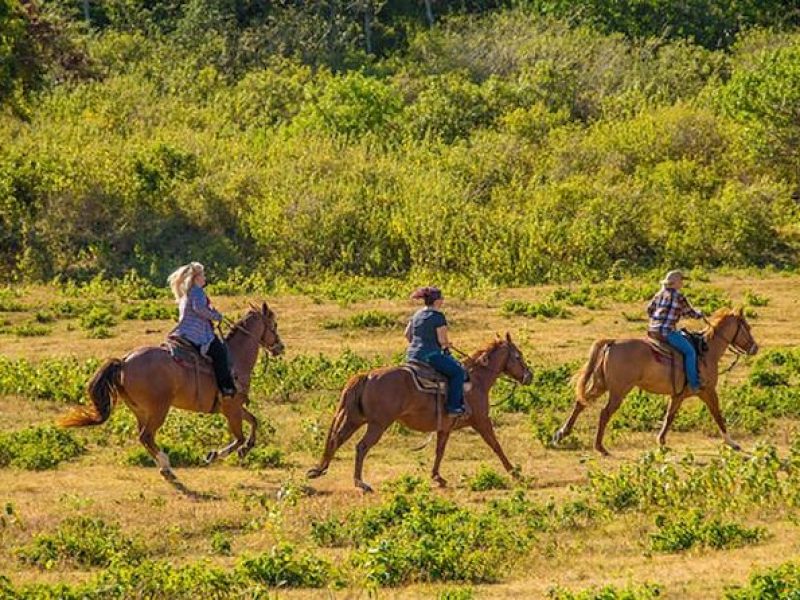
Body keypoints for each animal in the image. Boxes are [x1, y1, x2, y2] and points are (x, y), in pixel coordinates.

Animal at [60, 302, 284, 480]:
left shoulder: (233, 408)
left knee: (144, 437)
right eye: (274, 325)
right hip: (159, 409)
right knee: (146, 436)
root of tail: (123, 362)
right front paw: (214, 455)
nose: (280, 347)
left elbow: (254, 422)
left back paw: (163, 466)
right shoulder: (232, 409)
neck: (235, 359)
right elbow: (239, 438)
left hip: (141, 411)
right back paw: (166, 465)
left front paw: (246, 449)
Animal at [306, 332, 532, 492]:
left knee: (336, 439)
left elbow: (439, 451)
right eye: (518, 355)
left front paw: (437, 477)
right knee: (361, 447)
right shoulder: (482, 421)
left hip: (355, 419)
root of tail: (367, 376)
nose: (529, 376)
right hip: (378, 424)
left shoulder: (445, 428)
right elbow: (496, 445)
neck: (476, 380)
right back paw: (361, 483)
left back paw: (319, 470)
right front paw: (515, 473)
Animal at [552, 310, 760, 454]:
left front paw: (661, 441)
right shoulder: (707, 391)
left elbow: (669, 417)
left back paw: (560, 434)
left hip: (600, 385)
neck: (706, 351)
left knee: (580, 403)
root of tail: (612, 342)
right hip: (619, 391)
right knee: (604, 413)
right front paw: (732, 442)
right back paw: (600, 447)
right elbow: (718, 415)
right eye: (748, 328)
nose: (755, 348)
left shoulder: (678, 395)